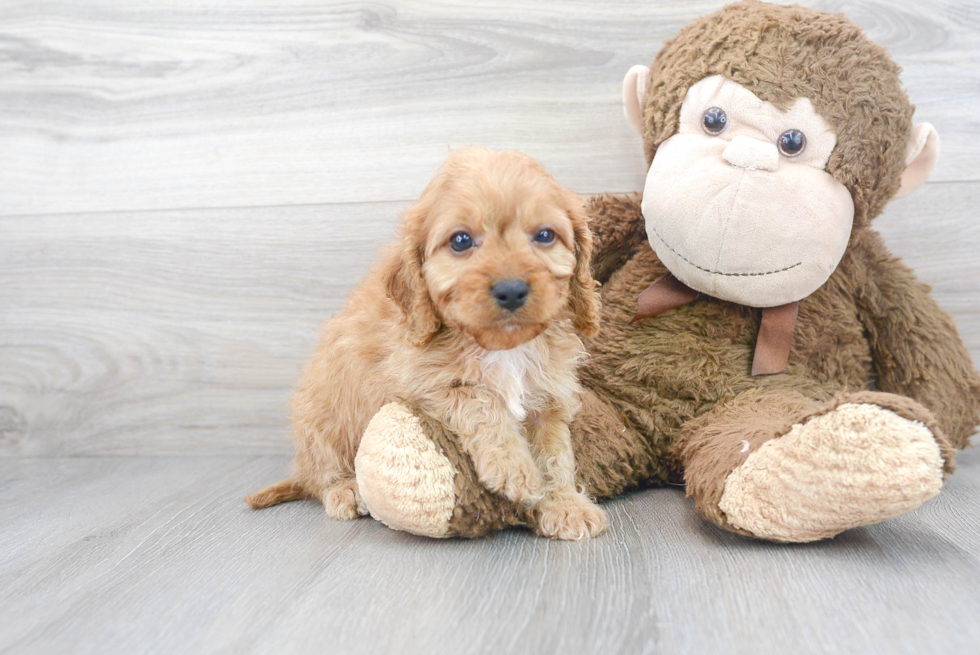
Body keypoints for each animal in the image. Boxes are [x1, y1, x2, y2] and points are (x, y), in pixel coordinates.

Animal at [247, 149, 604, 544]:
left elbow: (556, 455)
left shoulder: (549, 399)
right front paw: (513, 467)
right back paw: (345, 489)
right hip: (323, 421)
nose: (511, 290)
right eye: (460, 241)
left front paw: (564, 504)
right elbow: (480, 400)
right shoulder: (420, 384)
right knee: (321, 472)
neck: (501, 347)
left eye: (544, 235)